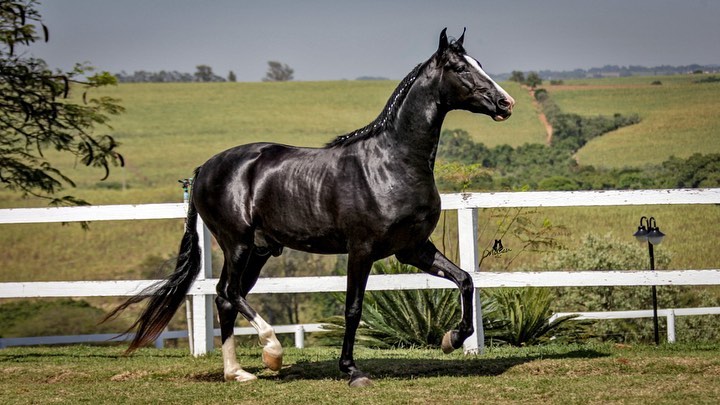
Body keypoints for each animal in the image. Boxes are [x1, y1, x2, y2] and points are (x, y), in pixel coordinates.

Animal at [108, 28, 512, 386]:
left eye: (478, 63)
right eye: (460, 68)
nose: (505, 103)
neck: (391, 162)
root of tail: (205, 169)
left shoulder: (413, 249)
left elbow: (465, 279)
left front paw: (452, 339)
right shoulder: (361, 250)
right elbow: (353, 309)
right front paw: (352, 371)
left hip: (258, 251)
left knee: (226, 298)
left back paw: (237, 372)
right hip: (236, 244)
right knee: (229, 292)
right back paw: (272, 351)